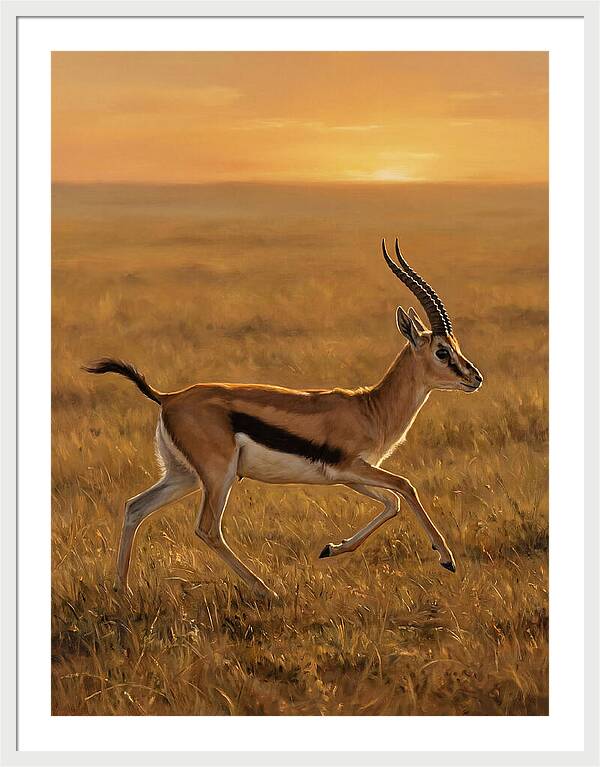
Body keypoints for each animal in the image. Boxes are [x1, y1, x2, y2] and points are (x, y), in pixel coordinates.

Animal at [85, 238, 482, 600]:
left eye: (457, 346)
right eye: (442, 351)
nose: (475, 378)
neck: (370, 408)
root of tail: (168, 397)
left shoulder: (348, 476)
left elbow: (392, 503)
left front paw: (331, 548)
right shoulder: (353, 467)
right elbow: (405, 487)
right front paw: (446, 559)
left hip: (183, 475)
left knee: (135, 507)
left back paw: (122, 590)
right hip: (218, 476)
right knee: (207, 528)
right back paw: (266, 590)